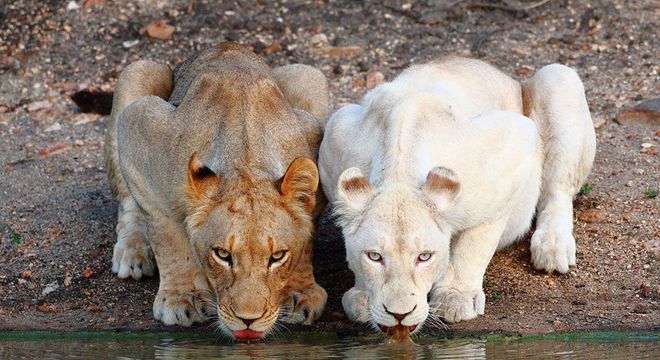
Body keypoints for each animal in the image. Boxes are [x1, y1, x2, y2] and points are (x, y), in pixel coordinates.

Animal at [320, 57, 600, 334]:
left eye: (424, 257)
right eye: (374, 256)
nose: (400, 315)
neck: (399, 168)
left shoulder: (513, 145)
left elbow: (475, 243)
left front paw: (456, 297)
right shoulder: (335, 133)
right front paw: (361, 297)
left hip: (558, 78)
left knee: (558, 190)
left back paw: (553, 247)